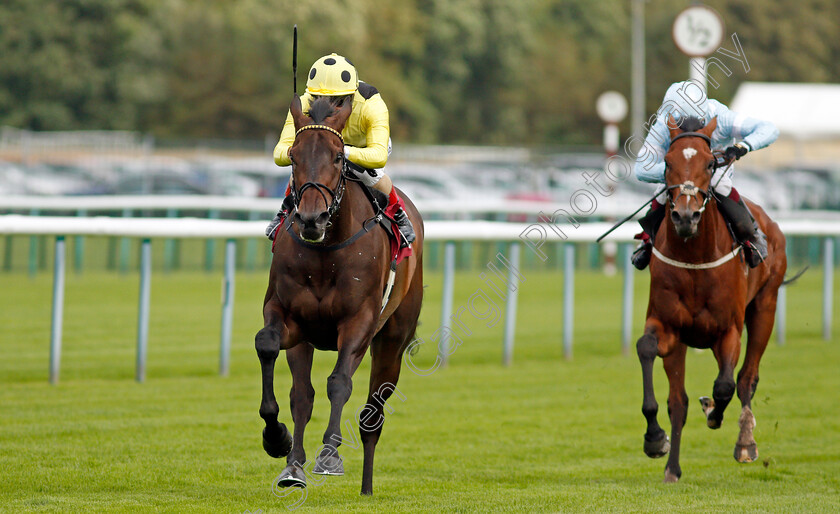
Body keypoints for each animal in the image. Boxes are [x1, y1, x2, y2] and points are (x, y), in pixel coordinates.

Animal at [254, 94, 426, 494]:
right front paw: (277, 439)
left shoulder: (358, 323)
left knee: (372, 415)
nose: (311, 219)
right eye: (294, 155)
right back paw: (294, 465)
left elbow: (339, 383)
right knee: (302, 396)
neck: (326, 250)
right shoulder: (289, 318)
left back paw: (366, 486)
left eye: (336, 156)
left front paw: (330, 455)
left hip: (392, 340)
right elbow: (268, 346)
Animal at [640, 115, 792, 480]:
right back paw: (673, 468)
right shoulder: (669, 327)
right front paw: (655, 439)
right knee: (678, 401)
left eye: (711, 164)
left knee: (747, 378)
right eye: (667, 162)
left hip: (765, 307)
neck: (695, 258)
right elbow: (647, 351)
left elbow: (725, 385)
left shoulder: (728, 330)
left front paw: (714, 413)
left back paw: (745, 442)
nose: (685, 216)